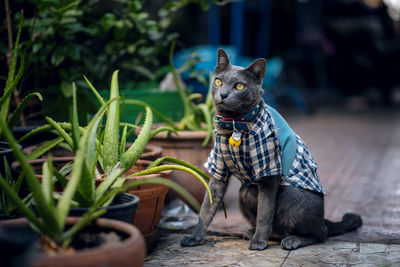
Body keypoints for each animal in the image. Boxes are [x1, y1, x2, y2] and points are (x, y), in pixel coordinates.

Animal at [180, 48, 360, 251]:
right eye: (218, 81)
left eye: (239, 86)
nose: (223, 94)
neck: (234, 125)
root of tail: (324, 218)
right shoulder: (219, 168)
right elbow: (206, 208)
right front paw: (194, 238)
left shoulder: (268, 171)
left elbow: (264, 212)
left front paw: (259, 242)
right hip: (246, 191)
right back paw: (253, 233)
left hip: (290, 194)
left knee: (321, 234)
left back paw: (292, 240)